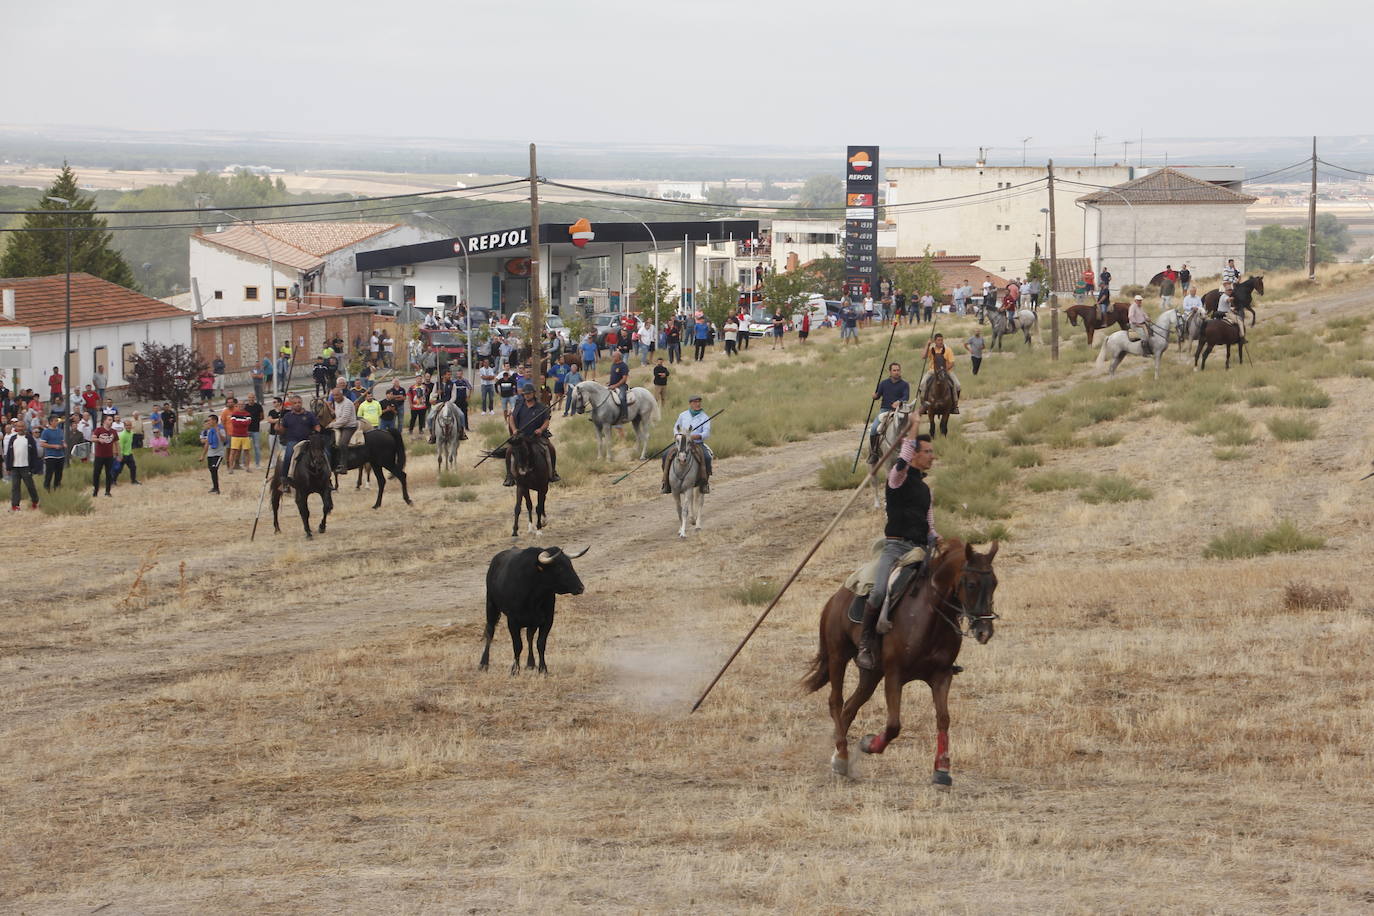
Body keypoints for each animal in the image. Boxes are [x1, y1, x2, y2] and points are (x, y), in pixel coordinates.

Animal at [480, 549, 588, 678]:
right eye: (559, 567)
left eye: (570, 564)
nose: (581, 587)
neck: (533, 594)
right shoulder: (512, 622)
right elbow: (517, 645)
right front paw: (514, 670)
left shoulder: (547, 620)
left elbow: (540, 643)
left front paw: (543, 669)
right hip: (491, 606)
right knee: (490, 631)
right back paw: (483, 664)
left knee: (529, 637)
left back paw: (531, 664)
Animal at [802, 543, 1000, 791]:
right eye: (972, 584)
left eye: (995, 583)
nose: (985, 631)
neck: (930, 616)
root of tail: (835, 599)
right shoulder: (894, 675)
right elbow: (894, 725)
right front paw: (869, 743)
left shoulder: (941, 676)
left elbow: (943, 719)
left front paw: (942, 771)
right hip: (838, 656)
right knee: (836, 702)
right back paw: (841, 758)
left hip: (871, 674)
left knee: (850, 708)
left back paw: (840, 755)